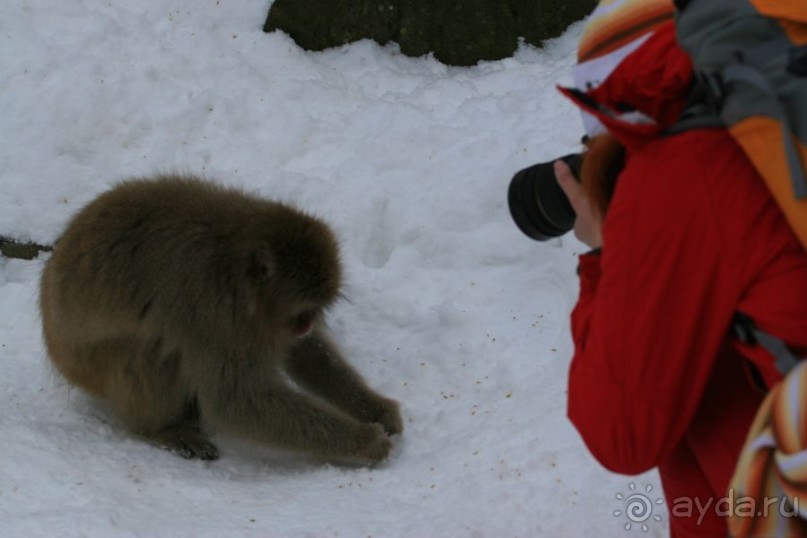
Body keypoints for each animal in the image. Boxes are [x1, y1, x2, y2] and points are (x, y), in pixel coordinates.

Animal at [39, 174, 402, 462]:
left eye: (312, 313)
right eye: (302, 312)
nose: (307, 324)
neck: (232, 260)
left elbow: (301, 351)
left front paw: (375, 408)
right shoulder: (208, 312)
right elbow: (236, 402)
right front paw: (365, 441)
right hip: (91, 366)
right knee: (149, 350)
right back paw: (161, 430)